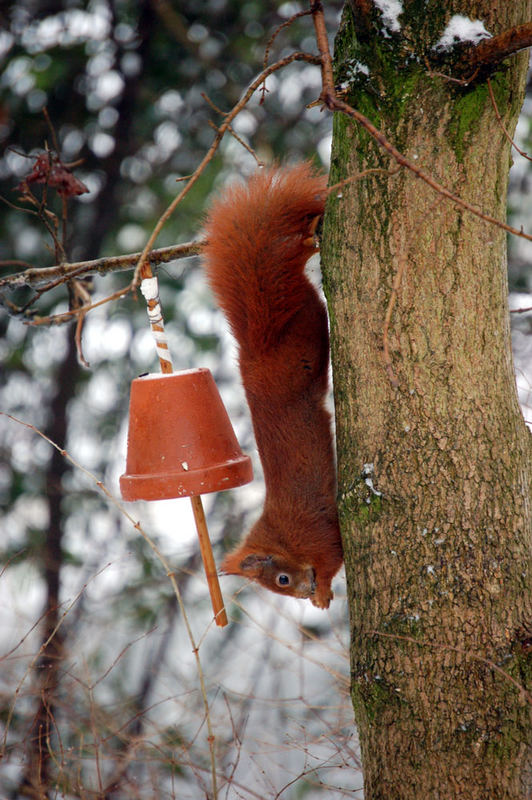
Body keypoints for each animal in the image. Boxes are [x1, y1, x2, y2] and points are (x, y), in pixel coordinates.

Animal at [202, 166, 342, 608]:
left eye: (281, 580)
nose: (301, 593)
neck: (285, 540)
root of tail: (256, 348)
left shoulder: (320, 537)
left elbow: (331, 561)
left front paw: (323, 592)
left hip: (305, 339)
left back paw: (311, 235)